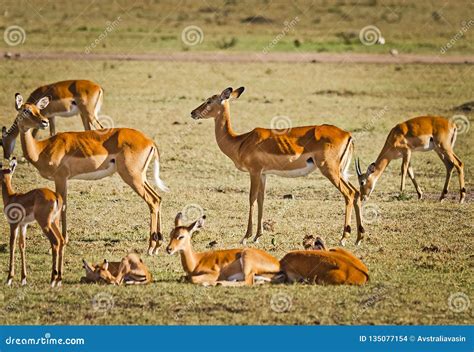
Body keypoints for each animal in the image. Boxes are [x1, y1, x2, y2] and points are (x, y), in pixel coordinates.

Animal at [0, 158, 64, 288]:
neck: (11, 197)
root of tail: (55, 195)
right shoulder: (23, 225)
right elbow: (22, 245)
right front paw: (23, 279)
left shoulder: (13, 224)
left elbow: (12, 245)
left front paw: (9, 279)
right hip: (54, 222)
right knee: (62, 240)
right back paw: (59, 280)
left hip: (45, 224)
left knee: (55, 242)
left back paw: (52, 279)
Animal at [1, 92, 168, 254]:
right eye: (26, 110)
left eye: (38, 110)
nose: (44, 122)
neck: (42, 148)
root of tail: (149, 141)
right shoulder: (63, 180)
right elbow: (63, 205)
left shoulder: (60, 178)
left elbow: (62, 207)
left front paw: (56, 245)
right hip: (140, 177)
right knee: (158, 198)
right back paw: (158, 245)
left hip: (132, 177)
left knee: (152, 201)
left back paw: (151, 247)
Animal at [191, 87, 364, 246]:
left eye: (209, 100)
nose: (193, 113)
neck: (240, 141)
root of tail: (347, 134)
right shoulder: (263, 174)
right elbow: (261, 199)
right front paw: (257, 236)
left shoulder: (254, 172)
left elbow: (251, 199)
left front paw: (245, 237)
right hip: (340, 172)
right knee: (356, 193)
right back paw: (358, 238)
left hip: (330, 170)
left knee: (349, 194)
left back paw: (344, 238)